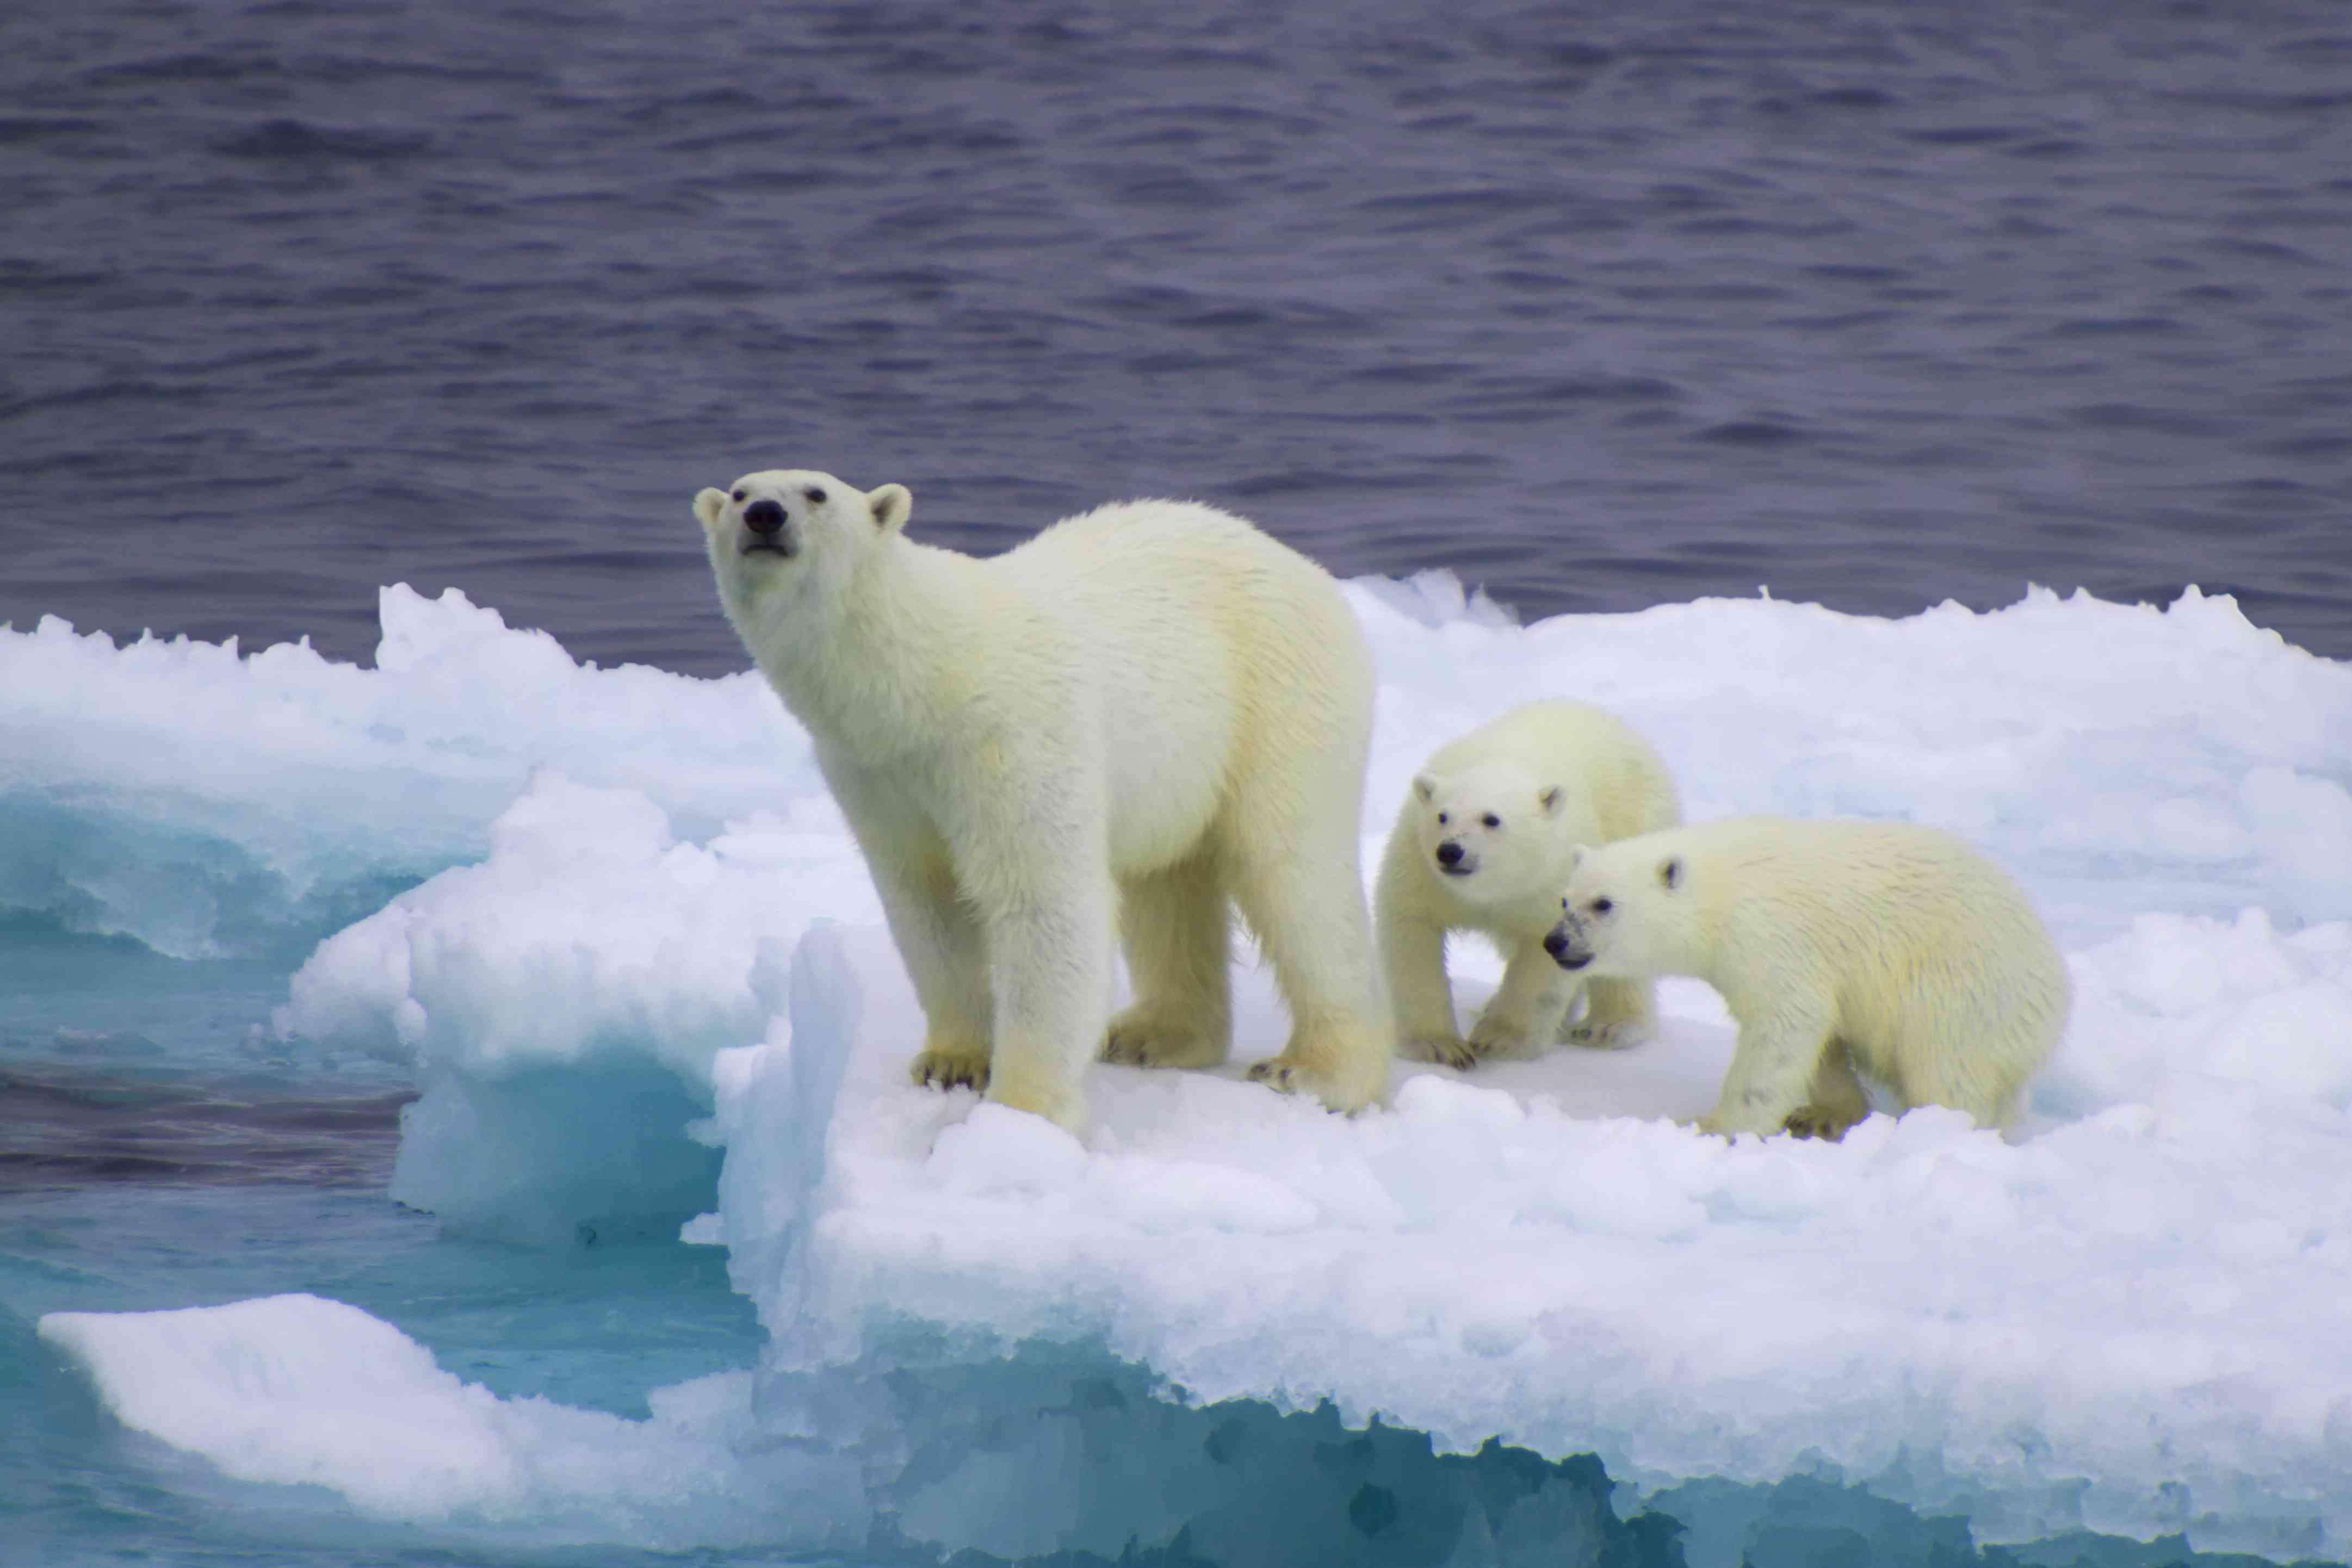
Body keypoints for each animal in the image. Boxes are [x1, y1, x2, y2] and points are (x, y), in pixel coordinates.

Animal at [696, 465, 1392, 1128]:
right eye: (740, 493)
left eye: (815, 493)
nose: (765, 516)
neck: (924, 679)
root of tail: (1309, 572)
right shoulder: (874, 773)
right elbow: (925, 902)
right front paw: (950, 1061)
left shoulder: (1011, 736)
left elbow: (1042, 901)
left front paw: (1020, 1111)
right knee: (1167, 884)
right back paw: (1153, 1035)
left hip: (1279, 696)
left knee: (1291, 873)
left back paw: (1315, 1071)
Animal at [1373, 705, 1683, 1071]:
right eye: (1442, 816)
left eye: (1491, 819)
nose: (1450, 851)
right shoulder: (1420, 867)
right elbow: (1412, 933)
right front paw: (1439, 1047)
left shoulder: (1551, 875)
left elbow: (1544, 954)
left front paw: (1497, 1040)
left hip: (1635, 825)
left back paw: (1608, 1026)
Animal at [1552, 822, 2070, 1142]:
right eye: (1564, 899)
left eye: (1603, 903)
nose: (1554, 941)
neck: (1720, 890)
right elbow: (1821, 1037)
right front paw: (1820, 1114)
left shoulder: (1773, 935)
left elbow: (1785, 1023)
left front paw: (1714, 1125)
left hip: (1965, 989)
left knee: (1946, 1068)